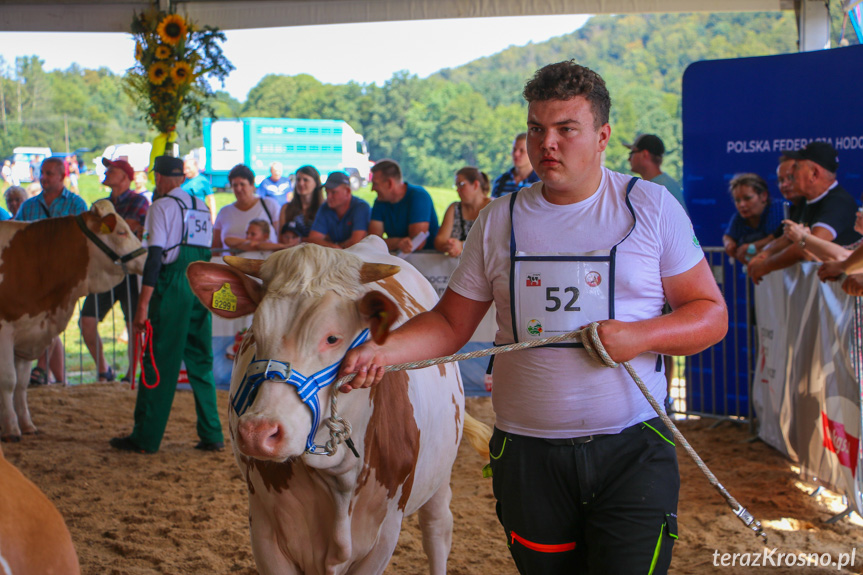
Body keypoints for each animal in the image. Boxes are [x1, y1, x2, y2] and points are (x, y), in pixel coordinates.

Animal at [0, 200, 146, 444]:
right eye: (121, 232)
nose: (148, 258)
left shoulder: (29, 332)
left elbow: (21, 383)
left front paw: (27, 426)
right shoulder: (5, 332)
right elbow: (9, 380)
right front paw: (11, 430)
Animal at [186, 237, 490, 575]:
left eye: (332, 338)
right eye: (256, 333)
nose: (257, 432)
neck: (338, 476)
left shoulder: (385, 534)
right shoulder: (264, 528)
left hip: (440, 474)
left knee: (437, 530)